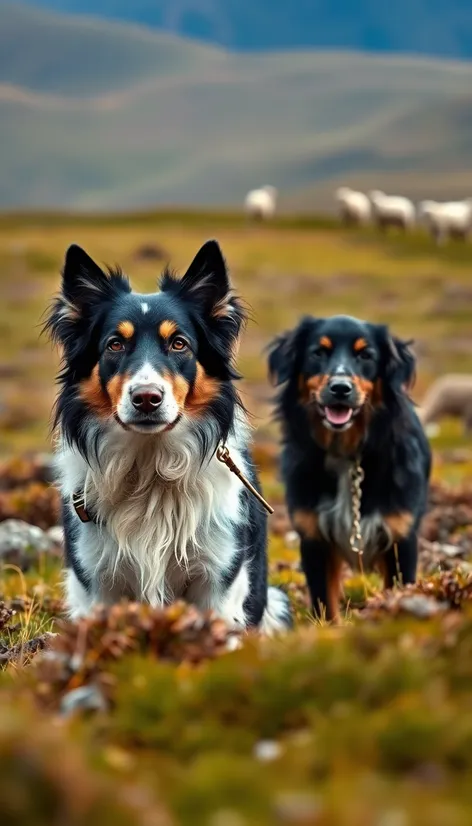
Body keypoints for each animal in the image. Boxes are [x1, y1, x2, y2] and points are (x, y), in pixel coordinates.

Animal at [268, 316, 430, 616]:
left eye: (365, 355)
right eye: (318, 353)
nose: (340, 388)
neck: (347, 454)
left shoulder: (401, 537)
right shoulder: (314, 538)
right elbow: (325, 602)